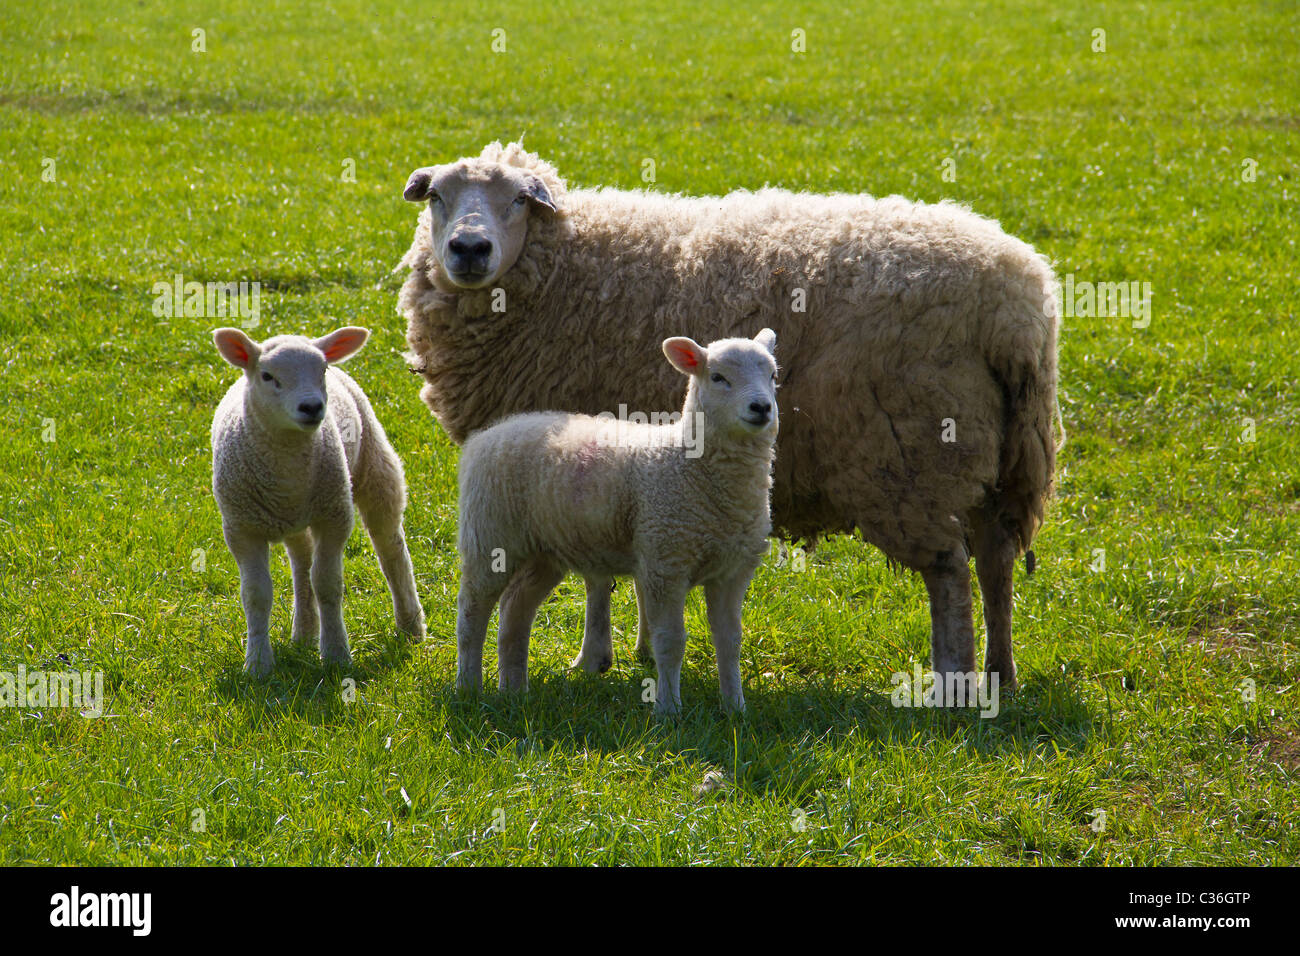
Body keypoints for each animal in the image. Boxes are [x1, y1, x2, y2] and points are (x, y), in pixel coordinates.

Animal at [211, 325, 426, 676]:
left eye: (322, 370)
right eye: (267, 376)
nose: (311, 407)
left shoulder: (334, 517)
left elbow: (327, 584)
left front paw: (337, 654)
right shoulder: (241, 530)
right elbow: (256, 594)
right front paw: (257, 664)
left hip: (375, 468)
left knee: (391, 550)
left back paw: (410, 627)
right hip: (297, 520)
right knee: (302, 564)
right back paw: (304, 634)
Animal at [457, 329, 780, 712]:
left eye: (773, 375)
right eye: (718, 377)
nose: (762, 407)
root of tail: (489, 433)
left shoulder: (733, 571)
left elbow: (730, 641)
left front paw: (735, 708)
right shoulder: (664, 564)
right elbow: (670, 641)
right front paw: (669, 710)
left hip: (544, 552)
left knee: (514, 612)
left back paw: (514, 691)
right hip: (489, 537)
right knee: (472, 612)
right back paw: (467, 688)